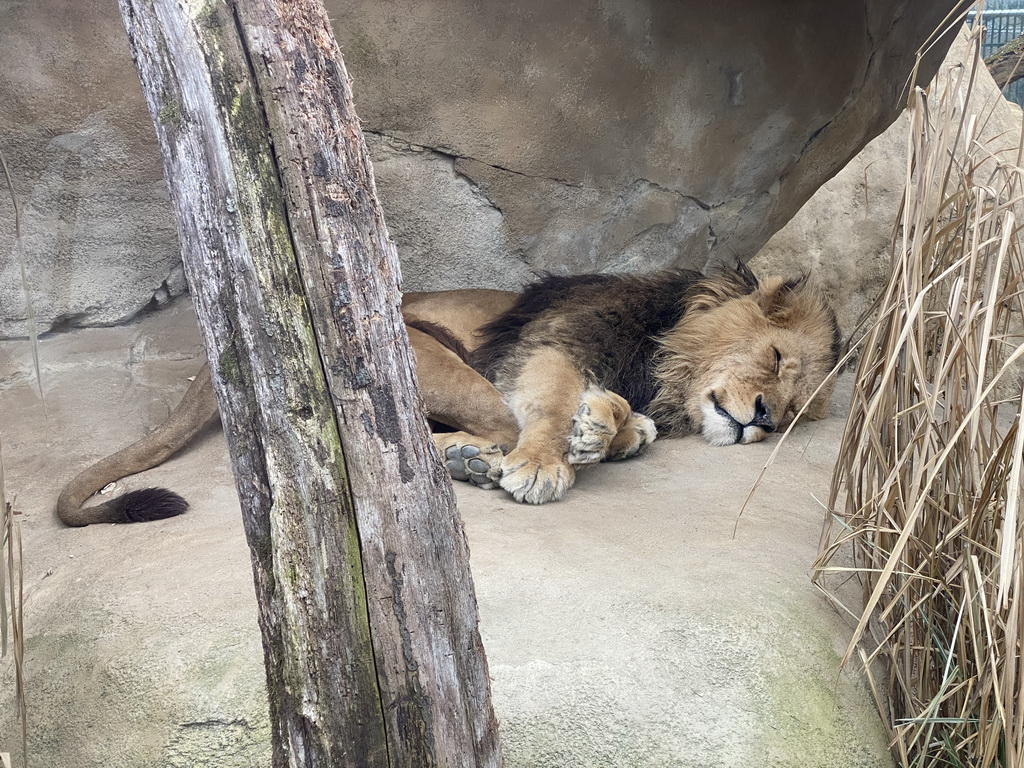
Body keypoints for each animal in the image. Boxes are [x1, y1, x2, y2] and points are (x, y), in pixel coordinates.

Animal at [58, 264, 839, 524]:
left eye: (791, 415)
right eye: (775, 358)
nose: (761, 419)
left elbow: (622, 417)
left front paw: (603, 429)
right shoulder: (551, 343)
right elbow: (553, 404)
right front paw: (554, 455)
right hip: (424, 350)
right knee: (403, 443)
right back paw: (486, 462)